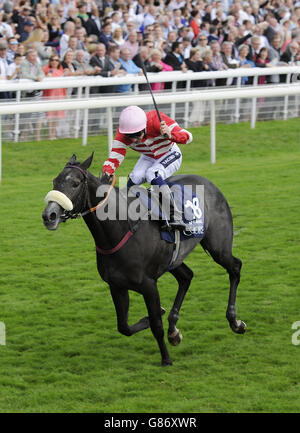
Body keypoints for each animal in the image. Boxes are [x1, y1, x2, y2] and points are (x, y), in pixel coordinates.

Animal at [42, 154, 248, 366]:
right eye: (55, 181)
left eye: (75, 183)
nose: (49, 215)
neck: (120, 229)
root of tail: (210, 184)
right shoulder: (116, 286)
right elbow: (124, 327)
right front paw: (151, 321)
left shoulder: (149, 286)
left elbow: (156, 324)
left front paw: (166, 359)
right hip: (173, 260)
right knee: (186, 277)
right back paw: (173, 330)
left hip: (218, 247)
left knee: (235, 267)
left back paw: (235, 321)